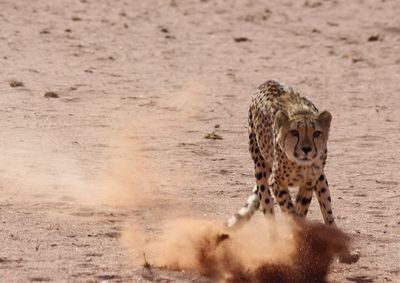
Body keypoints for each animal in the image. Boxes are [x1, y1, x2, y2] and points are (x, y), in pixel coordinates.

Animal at [228, 80, 334, 229]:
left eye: (317, 133)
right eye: (294, 132)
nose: (306, 149)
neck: (300, 165)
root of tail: (269, 81)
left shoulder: (309, 182)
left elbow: (300, 209)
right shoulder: (276, 182)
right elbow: (290, 210)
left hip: (321, 179)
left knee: (327, 208)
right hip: (260, 168)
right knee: (267, 206)